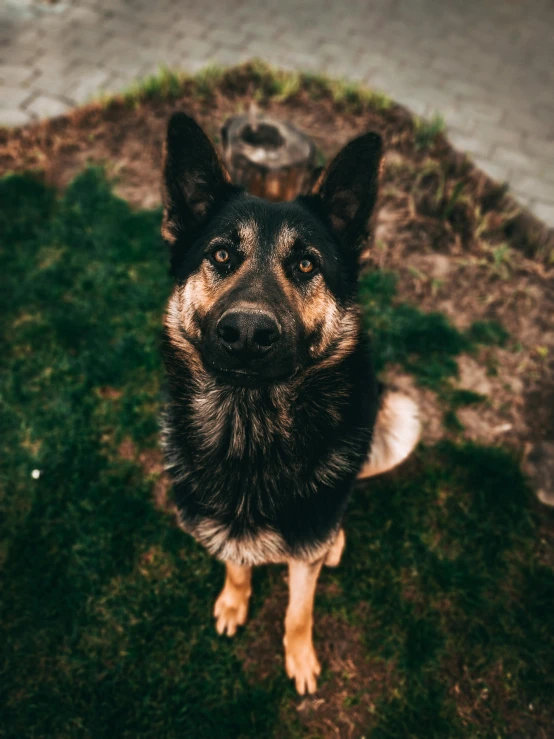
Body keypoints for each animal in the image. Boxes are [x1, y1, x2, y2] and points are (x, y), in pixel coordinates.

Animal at [157, 112, 416, 696]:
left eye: (304, 265)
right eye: (222, 255)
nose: (248, 334)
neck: (250, 427)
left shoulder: (305, 555)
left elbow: (300, 608)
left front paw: (299, 656)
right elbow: (236, 562)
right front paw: (235, 600)